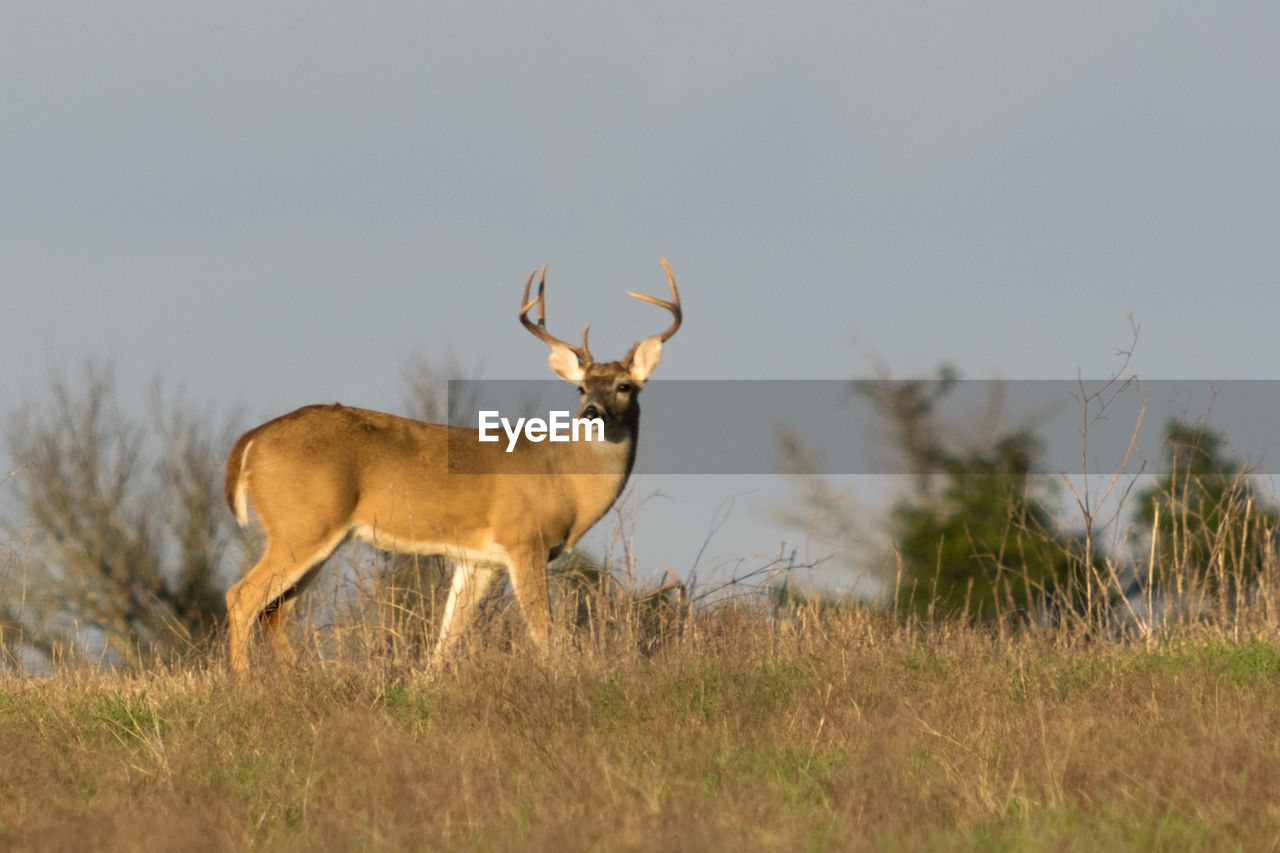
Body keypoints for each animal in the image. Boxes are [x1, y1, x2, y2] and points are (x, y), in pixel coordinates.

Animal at [222, 257, 680, 671]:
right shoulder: (523, 539)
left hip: (312, 533)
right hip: (303, 523)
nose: (591, 413)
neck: (563, 478)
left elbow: (449, 636)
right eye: (581, 388)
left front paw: (422, 687)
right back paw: (247, 686)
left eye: (624, 386)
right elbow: (543, 632)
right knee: (242, 597)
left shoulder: (478, 559)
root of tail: (250, 441)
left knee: (275, 610)